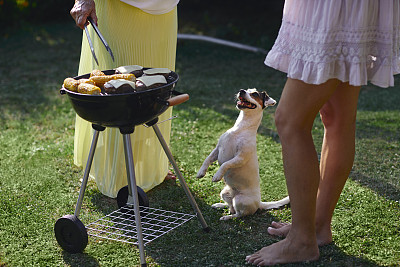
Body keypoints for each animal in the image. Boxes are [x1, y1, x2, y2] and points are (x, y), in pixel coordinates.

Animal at [198, 89, 290, 221]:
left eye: (255, 94)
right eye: (247, 90)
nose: (241, 91)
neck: (240, 128)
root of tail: (259, 203)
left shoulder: (240, 158)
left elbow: (225, 164)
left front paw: (217, 175)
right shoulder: (217, 149)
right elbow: (207, 159)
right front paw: (201, 172)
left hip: (239, 199)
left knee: (239, 214)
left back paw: (227, 217)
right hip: (225, 193)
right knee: (230, 206)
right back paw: (220, 205)